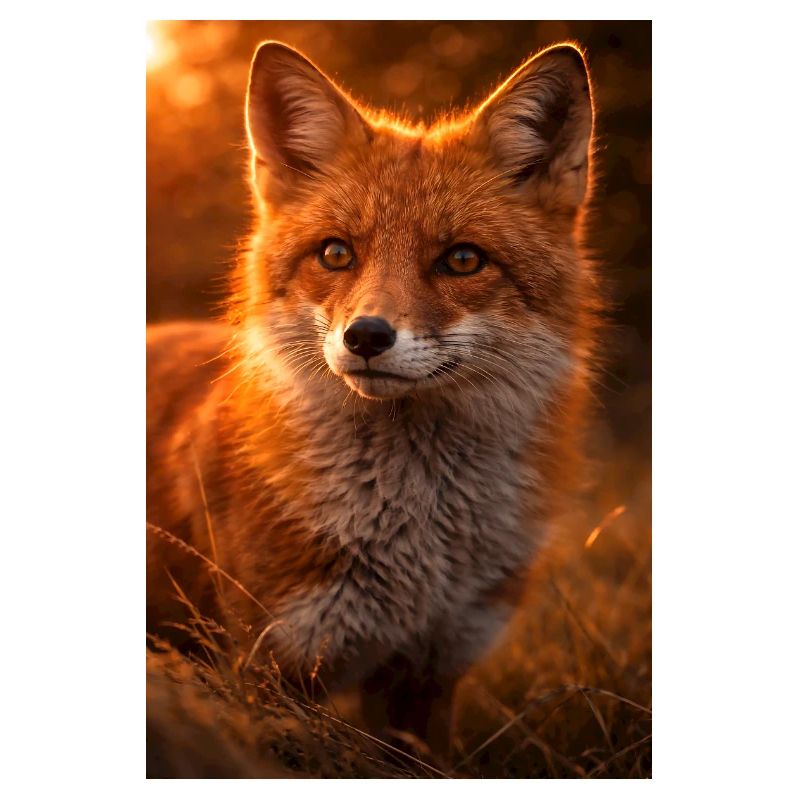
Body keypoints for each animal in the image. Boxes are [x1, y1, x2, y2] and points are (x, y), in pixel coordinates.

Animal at [147, 39, 599, 757]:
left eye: (463, 260)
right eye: (336, 254)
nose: (366, 336)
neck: (416, 541)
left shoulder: (430, 674)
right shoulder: (274, 670)